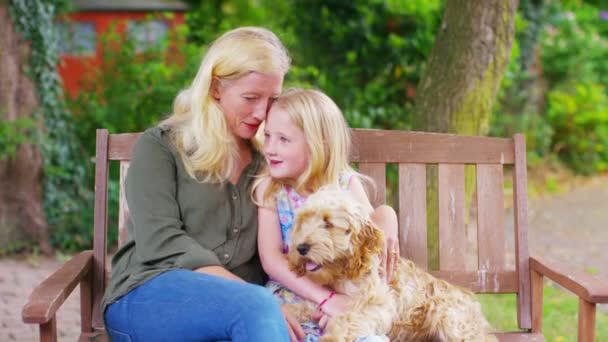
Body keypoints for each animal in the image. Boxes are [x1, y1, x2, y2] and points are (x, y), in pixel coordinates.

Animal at [288, 187, 496, 342]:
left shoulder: (379, 305)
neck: (343, 273)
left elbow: (349, 317)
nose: (301, 248)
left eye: (328, 223)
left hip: (446, 315)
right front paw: (290, 312)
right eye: (303, 220)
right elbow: (306, 304)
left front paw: (332, 337)